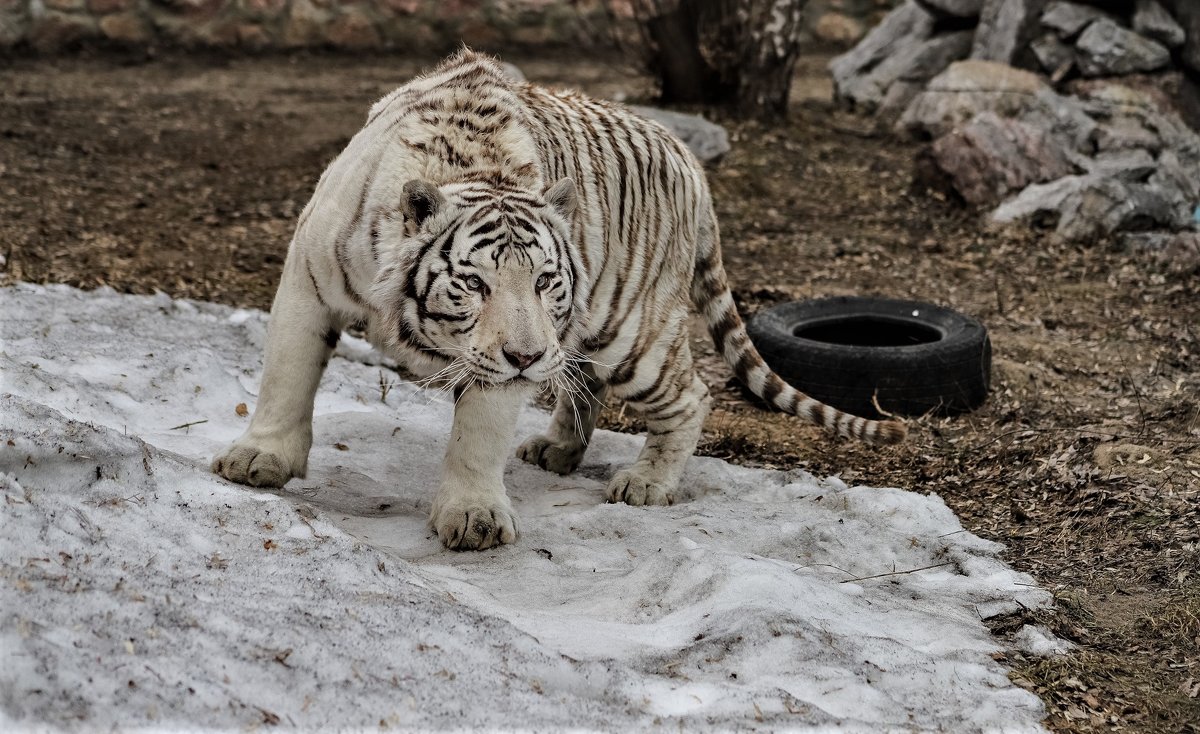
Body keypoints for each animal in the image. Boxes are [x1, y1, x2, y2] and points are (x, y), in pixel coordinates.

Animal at [211, 51, 902, 551]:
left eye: (544, 281)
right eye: (476, 284)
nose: (525, 355)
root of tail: (689, 158)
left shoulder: (510, 357)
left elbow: (479, 434)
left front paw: (474, 518)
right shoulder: (308, 281)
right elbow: (286, 377)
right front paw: (259, 459)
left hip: (629, 335)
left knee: (690, 394)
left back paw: (646, 483)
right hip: (586, 333)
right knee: (585, 381)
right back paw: (559, 450)